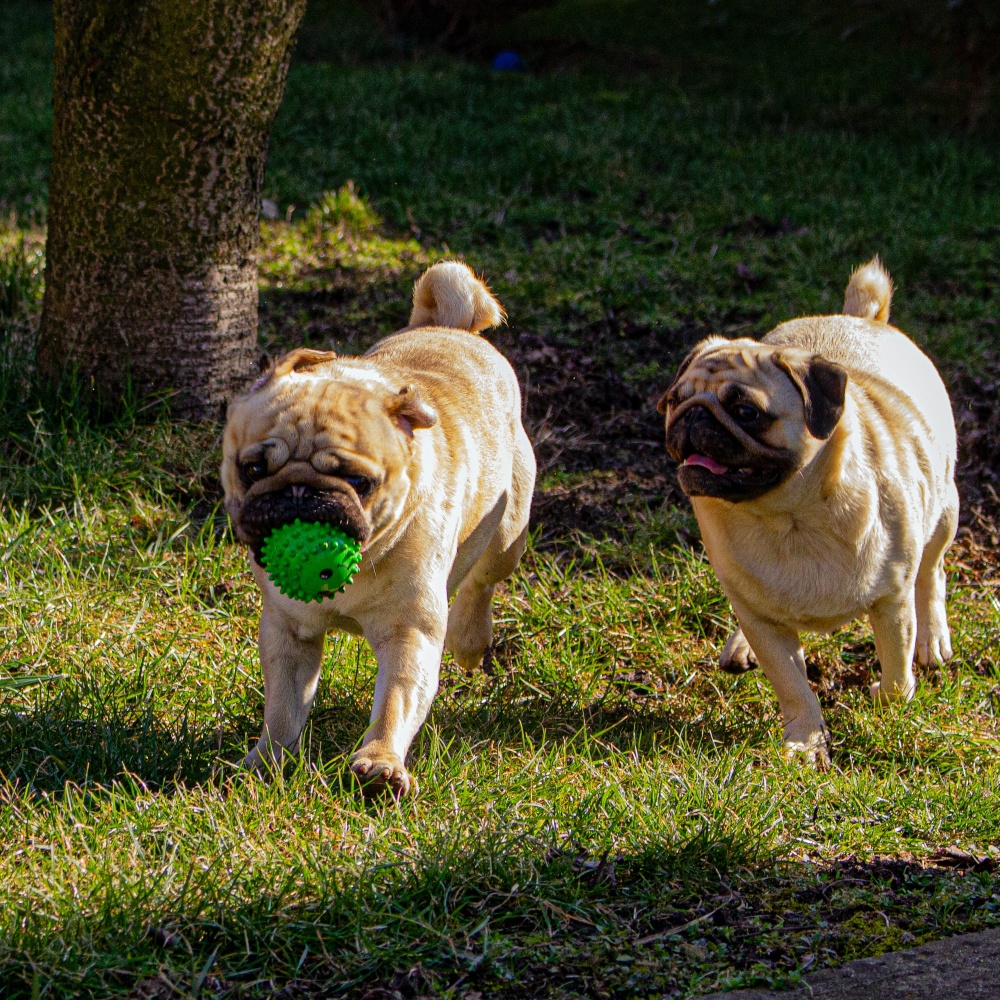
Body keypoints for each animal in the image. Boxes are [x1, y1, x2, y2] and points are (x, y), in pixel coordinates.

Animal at [225, 262, 540, 792]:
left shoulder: (410, 633)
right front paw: (267, 760)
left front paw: (380, 762)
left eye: (359, 482)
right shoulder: (288, 635)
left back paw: (470, 640)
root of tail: (449, 326)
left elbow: (396, 702)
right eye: (251, 469)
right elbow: (283, 709)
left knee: (482, 582)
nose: (299, 492)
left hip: (507, 532)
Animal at [660, 260, 956, 764]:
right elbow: (793, 686)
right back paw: (742, 643)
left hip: (945, 510)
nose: (693, 415)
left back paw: (932, 636)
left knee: (931, 571)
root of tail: (861, 319)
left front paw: (889, 706)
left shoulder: (891, 602)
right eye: (676, 400)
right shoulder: (763, 619)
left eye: (747, 411)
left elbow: (897, 669)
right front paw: (806, 741)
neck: (789, 518)